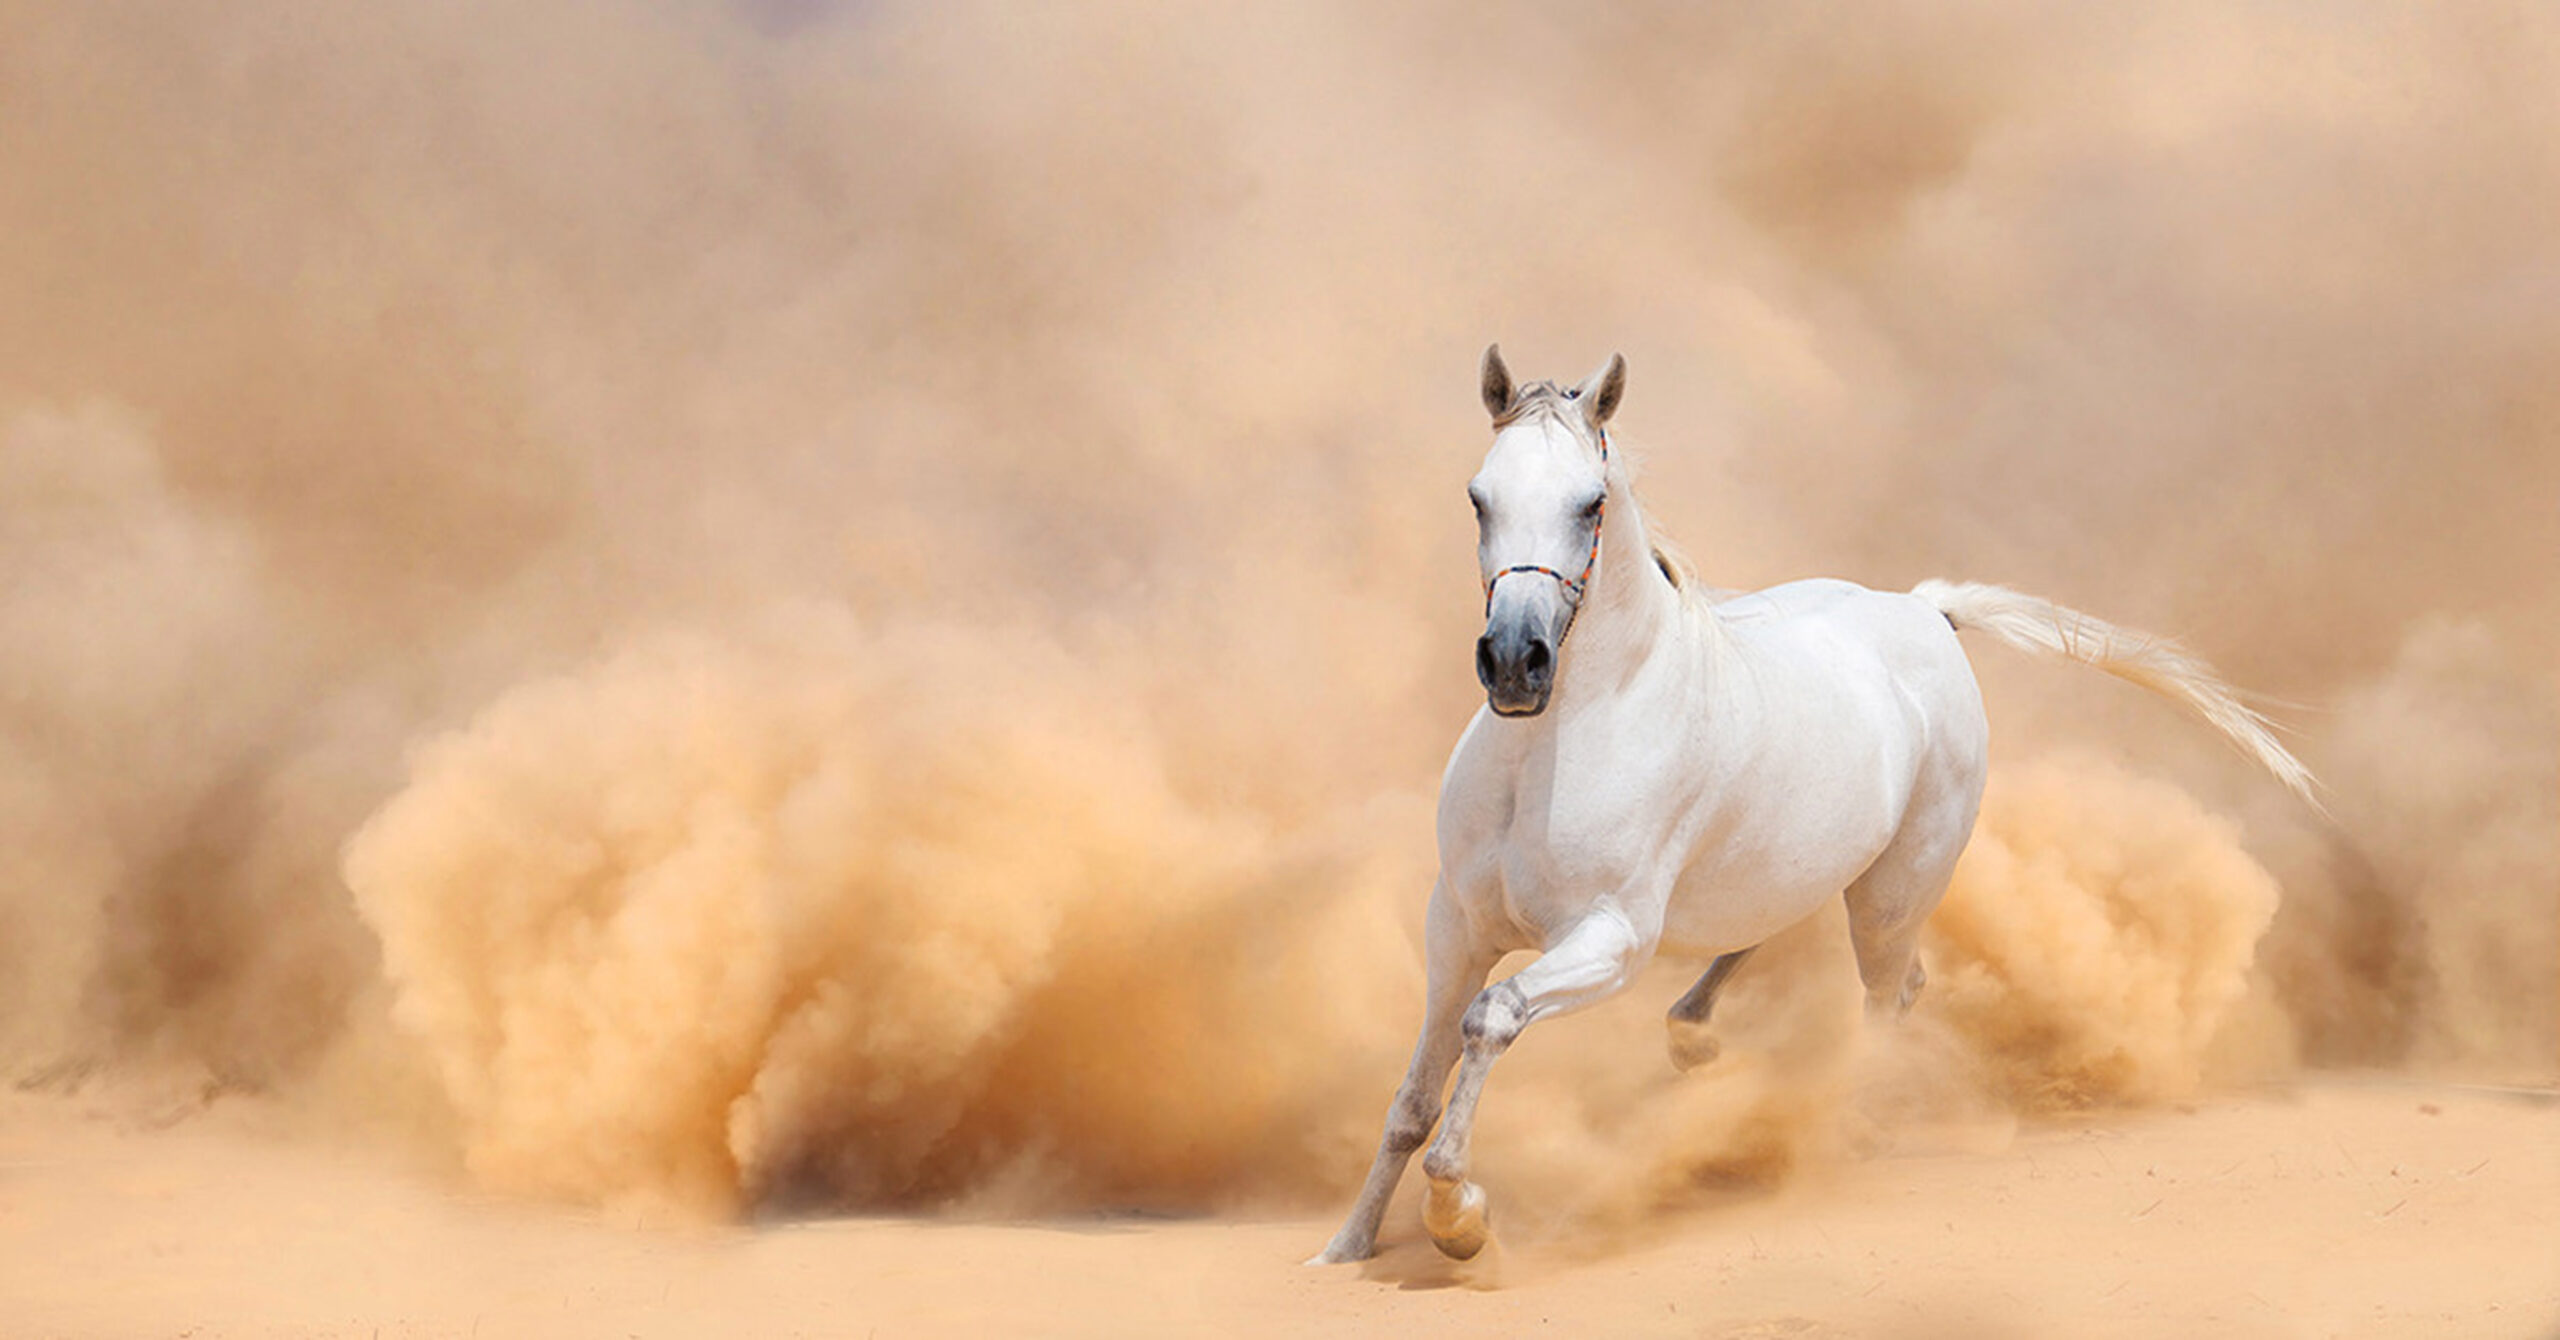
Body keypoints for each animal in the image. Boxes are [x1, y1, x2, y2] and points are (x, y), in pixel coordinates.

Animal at [1311, 346, 2316, 1265]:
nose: (1515, 664)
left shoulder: (1609, 940)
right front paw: (1347, 1249)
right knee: (1760, 944)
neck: (1553, 744)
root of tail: (1924, 612)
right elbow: (1413, 1098)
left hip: (1892, 898)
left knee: (1892, 997)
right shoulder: (1456, 926)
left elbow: (1492, 1020)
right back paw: (1699, 1046)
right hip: (1792, 866)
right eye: (1478, 497)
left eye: (1590, 503)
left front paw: (1459, 1218)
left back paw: (1842, 1131)